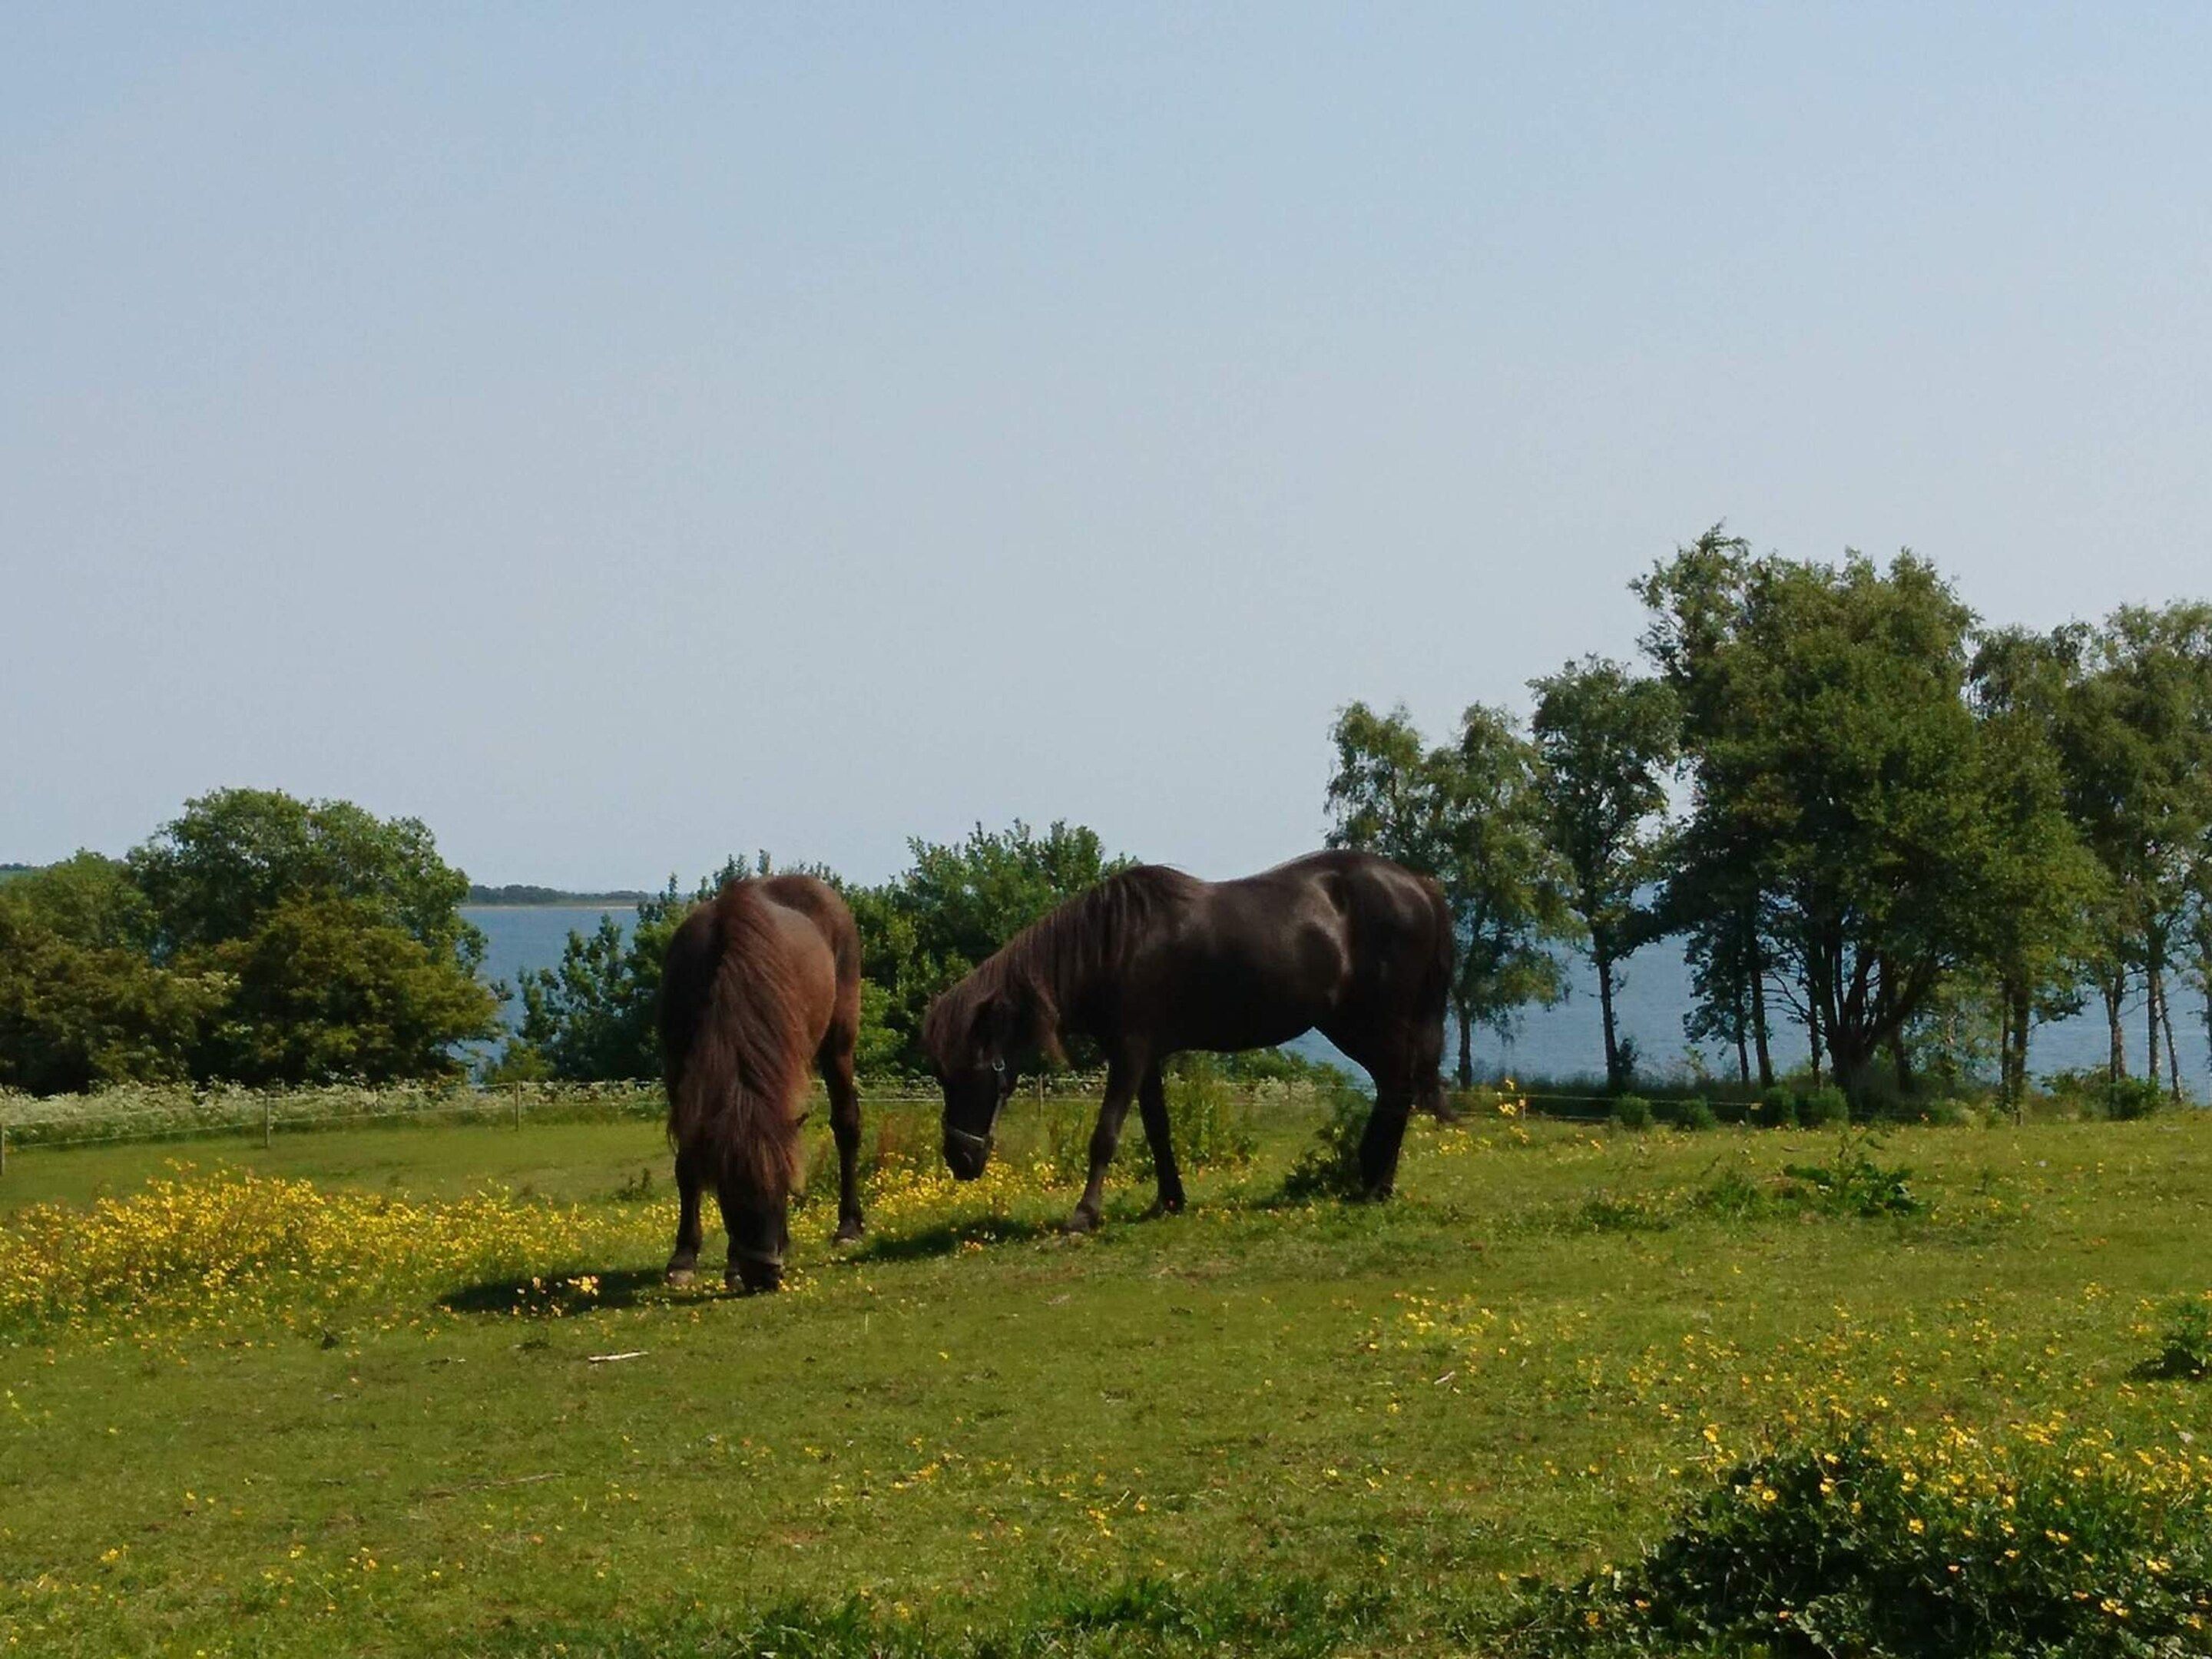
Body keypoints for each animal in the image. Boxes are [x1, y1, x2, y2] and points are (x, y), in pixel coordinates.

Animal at [659, 874, 864, 1292]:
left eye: (784, 1186)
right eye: (729, 1192)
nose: (763, 1272)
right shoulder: (677, 1072)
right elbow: (687, 1164)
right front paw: (684, 1257)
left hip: (839, 1043)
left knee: (847, 1124)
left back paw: (849, 1227)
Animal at [923, 849, 1451, 1232]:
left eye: (971, 1072)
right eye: (942, 1076)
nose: (959, 1159)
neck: (1111, 947)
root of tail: (1419, 885)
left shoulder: (1130, 1053)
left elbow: (1105, 1135)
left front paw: (1084, 1215)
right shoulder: (1146, 1059)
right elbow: (1158, 1129)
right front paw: (1169, 1200)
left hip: (1374, 1022)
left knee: (1397, 1088)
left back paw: (1376, 1185)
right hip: (1351, 1025)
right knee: (1392, 1087)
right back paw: (1375, 1179)